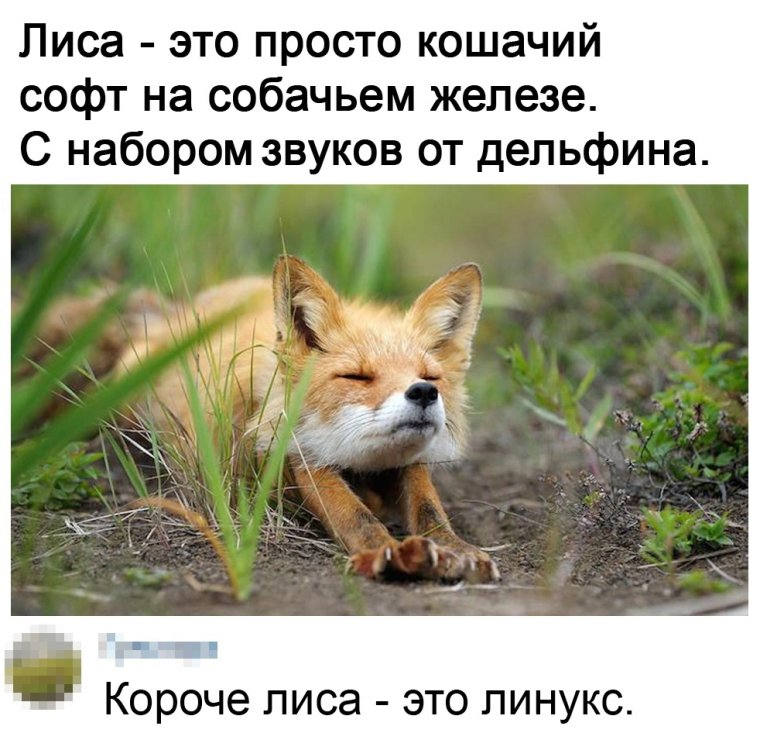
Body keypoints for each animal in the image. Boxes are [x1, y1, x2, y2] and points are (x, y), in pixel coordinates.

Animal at [32, 255, 500, 584]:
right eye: (357, 376)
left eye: (430, 377)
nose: (423, 393)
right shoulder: (292, 452)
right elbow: (350, 511)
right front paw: (383, 551)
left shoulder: (407, 462)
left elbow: (427, 507)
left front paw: (454, 548)